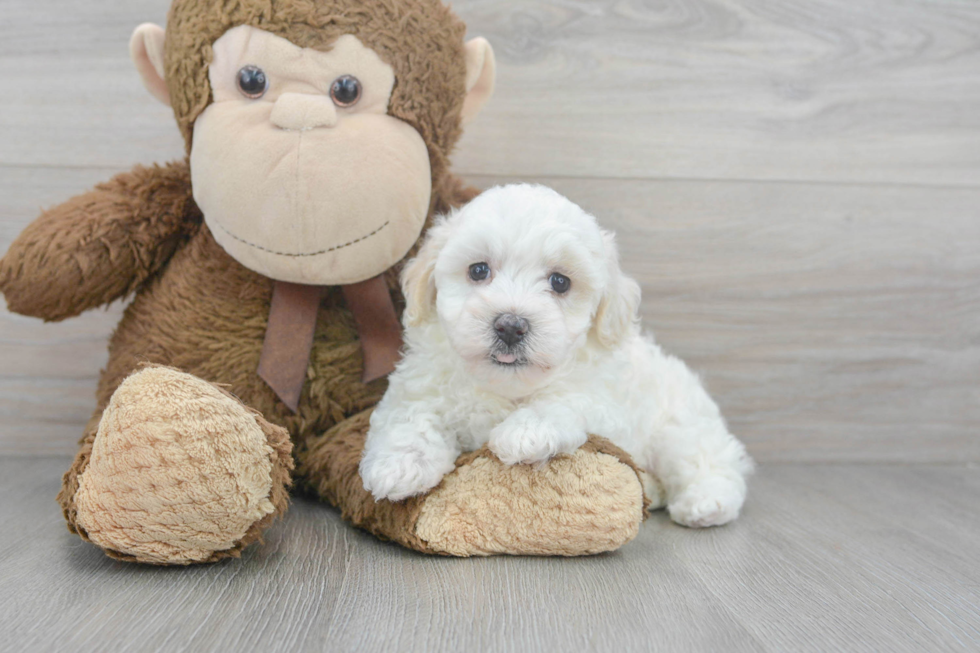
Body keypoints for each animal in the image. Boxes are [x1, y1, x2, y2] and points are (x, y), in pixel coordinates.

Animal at [358, 182, 752, 524]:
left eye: (560, 282)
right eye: (478, 270)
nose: (510, 326)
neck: (505, 387)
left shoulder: (605, 404)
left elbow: (564, 400)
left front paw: (525, 432)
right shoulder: (418, 387)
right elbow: (410, 418)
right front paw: (399, 466)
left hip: (679, 425)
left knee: (707, 460)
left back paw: (706, 503)